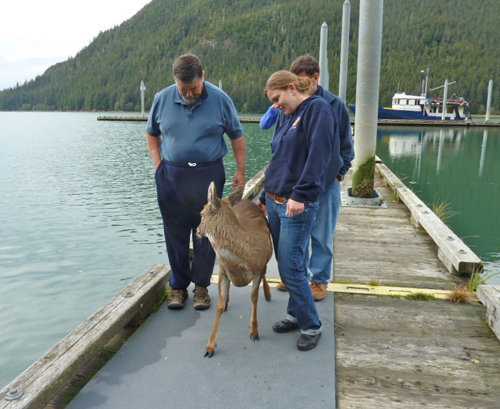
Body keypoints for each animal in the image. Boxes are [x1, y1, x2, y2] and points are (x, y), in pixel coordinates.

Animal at [196, 180, 274, 356]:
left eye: (201, 214)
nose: (197, 231)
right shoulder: (223, 271)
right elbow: (219, 305)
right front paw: (210, 347)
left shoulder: (258, 269)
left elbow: (254, 297)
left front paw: (254, 332)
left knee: (266, 274)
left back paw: (268, 294)